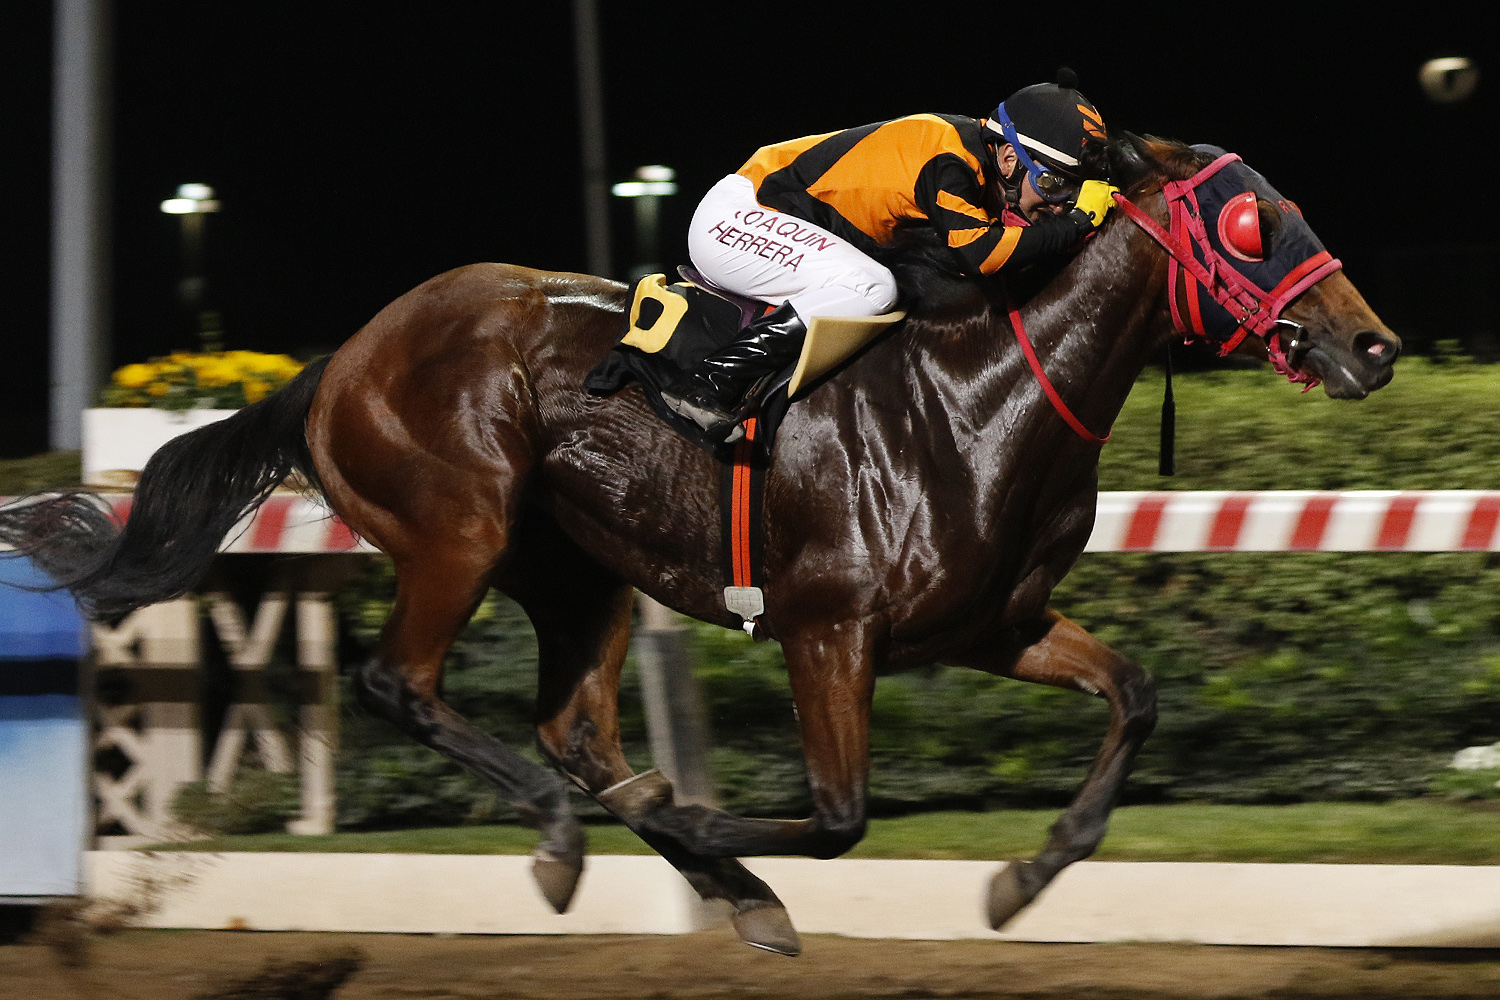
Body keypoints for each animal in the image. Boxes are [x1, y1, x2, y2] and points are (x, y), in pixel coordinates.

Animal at [0, 134, 1399, 955]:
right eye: (1250, 226)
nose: (1373, 344)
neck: (983, 395)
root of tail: (340, 357)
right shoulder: (828, 626)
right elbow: (835, 817)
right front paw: (715, 829)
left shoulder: (991, 624)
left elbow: (1136, 695)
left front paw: (1025, 877)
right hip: (461, 525)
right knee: (407, 684)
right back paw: (574, 841)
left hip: (580, 570)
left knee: (577, 729)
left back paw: (700, 870)